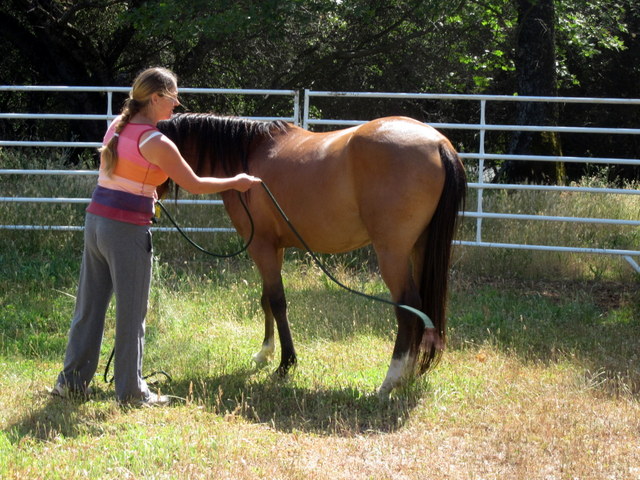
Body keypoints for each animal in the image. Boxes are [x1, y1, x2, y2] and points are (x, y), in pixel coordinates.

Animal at [157, 113, 466, 397]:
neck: (247, 156)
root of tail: (438, 143)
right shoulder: (274, 247)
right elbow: (266, 299)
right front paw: (264, 353)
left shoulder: (260, 246)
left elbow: (277, 301)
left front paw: (285, 364)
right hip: (419, 249)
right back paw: (409, 376)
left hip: (393, 254)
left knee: (407, 308)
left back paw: (390, 381)